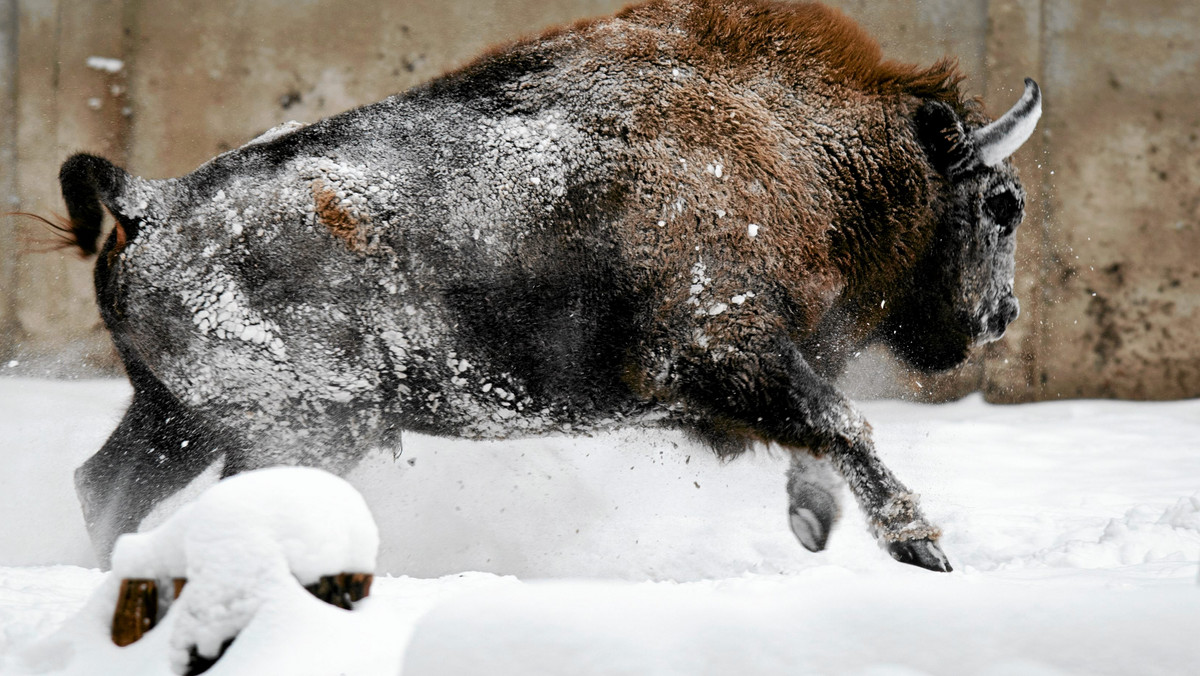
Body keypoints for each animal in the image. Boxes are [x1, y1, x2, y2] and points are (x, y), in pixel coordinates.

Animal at [60, 0, 1041, 571]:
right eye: (1003, 204)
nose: (1001, 317)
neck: (797, 146)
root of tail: (150, 201)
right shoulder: (722, 350)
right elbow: (840, 421)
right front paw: (922, 549)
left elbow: (823, 429)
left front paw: (816, 523)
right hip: (290, 431)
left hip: (173, 418)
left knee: (105, 487)